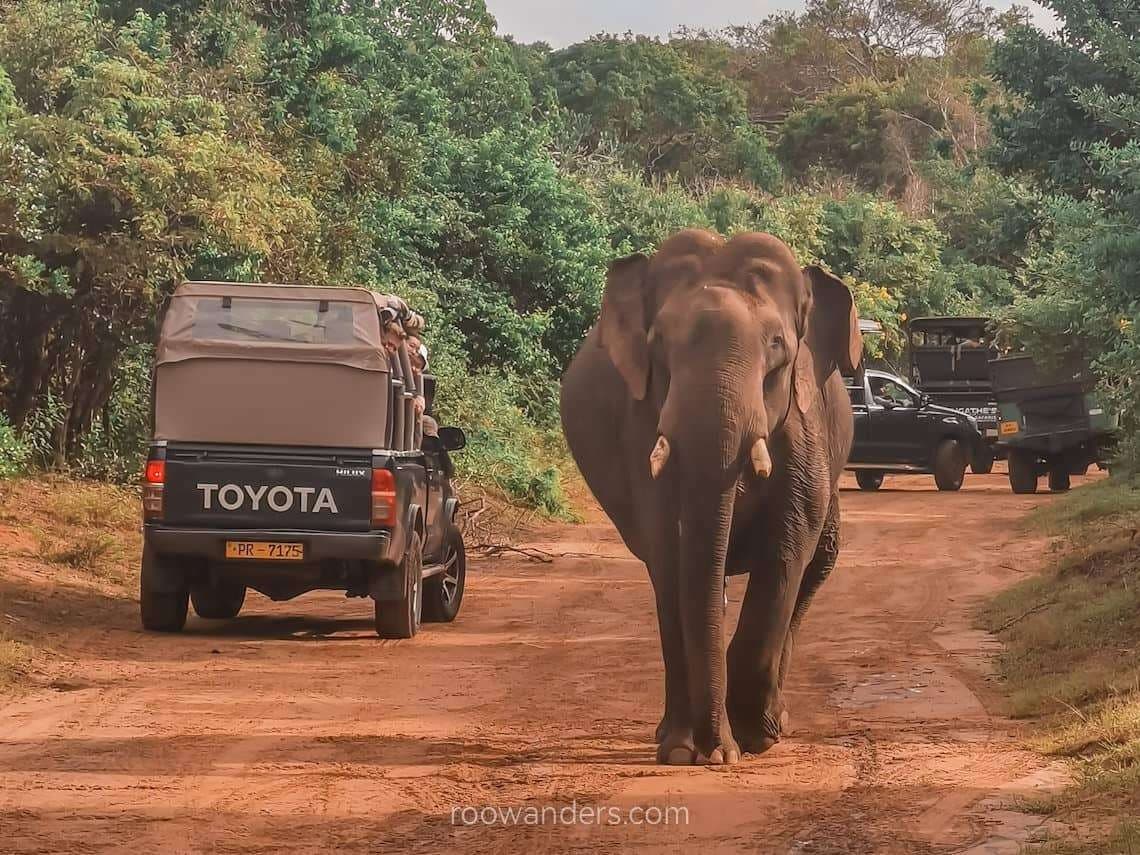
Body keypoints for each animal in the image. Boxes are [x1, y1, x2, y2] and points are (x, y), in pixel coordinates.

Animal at [559, 229, 863, 766]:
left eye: (777, 344)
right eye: (659, 344)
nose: (711, 750)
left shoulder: (803, 427)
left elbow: (787, 548)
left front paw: (752, 739)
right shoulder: (643, 425)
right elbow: (670, 550)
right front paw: (686, 752)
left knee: (817, 563)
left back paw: (772, 721)